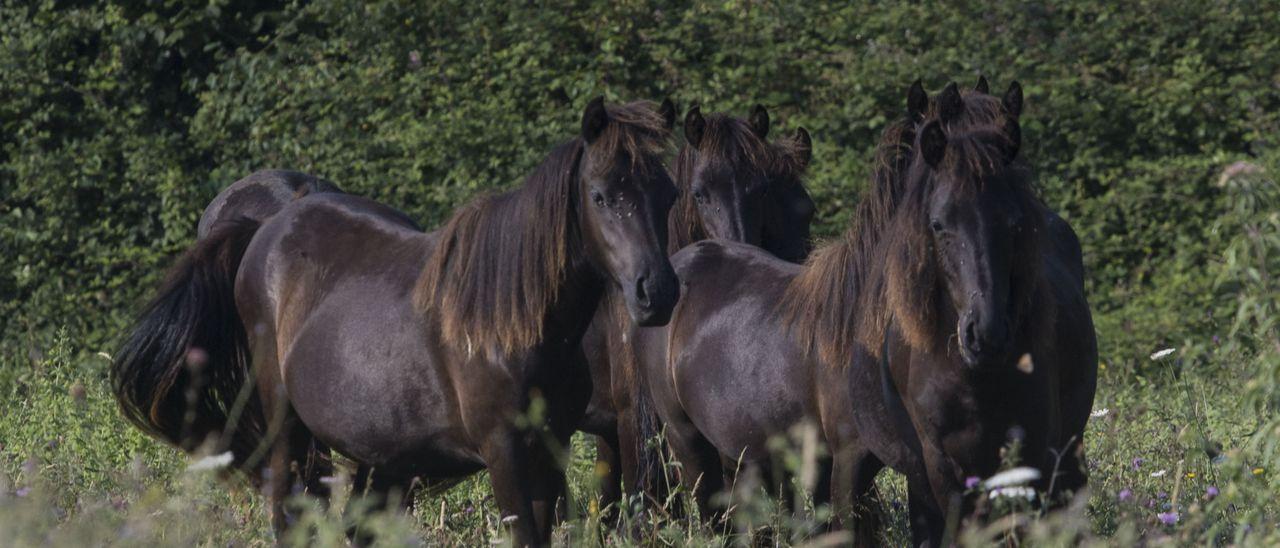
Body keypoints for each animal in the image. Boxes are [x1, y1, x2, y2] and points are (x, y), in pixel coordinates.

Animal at [113, 96, 686, 545]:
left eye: (669, 194)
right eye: (601, 195)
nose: (656, 292)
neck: (514, 325)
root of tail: (267, 226)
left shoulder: (551, 451)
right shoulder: (506, 455)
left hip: (381, 453)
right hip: (287, 427)